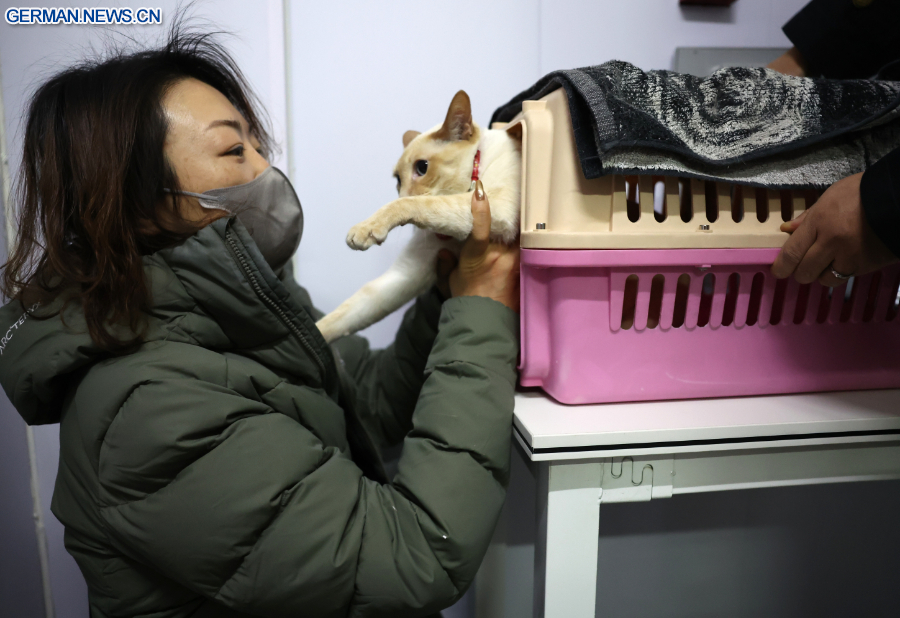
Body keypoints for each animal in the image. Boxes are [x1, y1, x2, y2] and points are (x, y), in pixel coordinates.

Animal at [316, 90, 521, 343]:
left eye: (422, 168)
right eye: (397, 180)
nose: (401, 191)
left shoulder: (499, 208)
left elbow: (415, 204)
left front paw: (365, 229)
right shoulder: (407, 273)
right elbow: (344, 315)